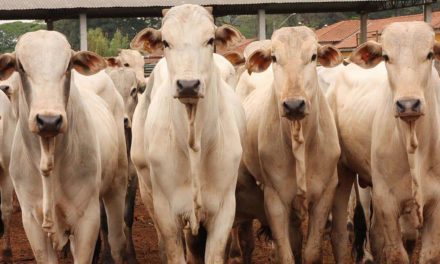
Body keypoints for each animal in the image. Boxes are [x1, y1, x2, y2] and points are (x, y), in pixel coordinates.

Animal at [0, 30, 127, 262]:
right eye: (20, 66)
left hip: (117, 184)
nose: (49, 120)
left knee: (116, 242)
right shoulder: (32, 221)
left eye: (68, 65)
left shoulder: (87, 218)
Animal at [131, 4, 246, 264]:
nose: (188, 85)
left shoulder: (224, 209)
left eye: (210, 40)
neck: (194, 144)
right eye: (166, 42)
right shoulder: (166, 212)